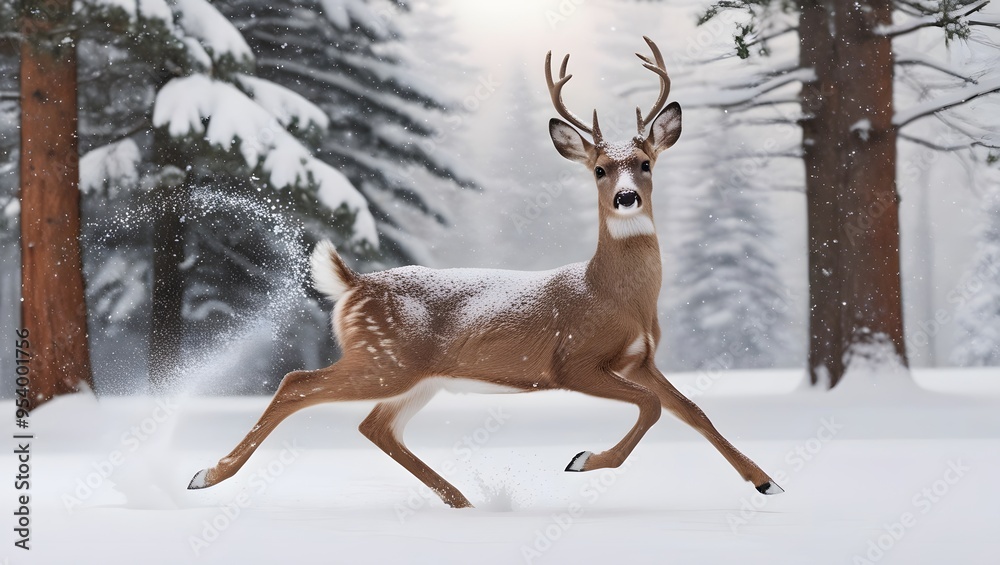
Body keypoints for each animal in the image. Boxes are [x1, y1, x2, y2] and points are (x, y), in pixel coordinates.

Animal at [187, 37, 784, 508]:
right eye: (598, 170)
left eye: (645, 163)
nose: (626, 196)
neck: (614, 296)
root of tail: (354, 285)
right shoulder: (573, 361)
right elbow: (654, 407)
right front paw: (582, 459)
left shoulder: (641, 359)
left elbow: (695, 411)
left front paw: (766, 482)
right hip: (384, 359)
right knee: (296, 383)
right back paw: (206, 475)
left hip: (412, 375)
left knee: (374, 425)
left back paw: (464, 502)